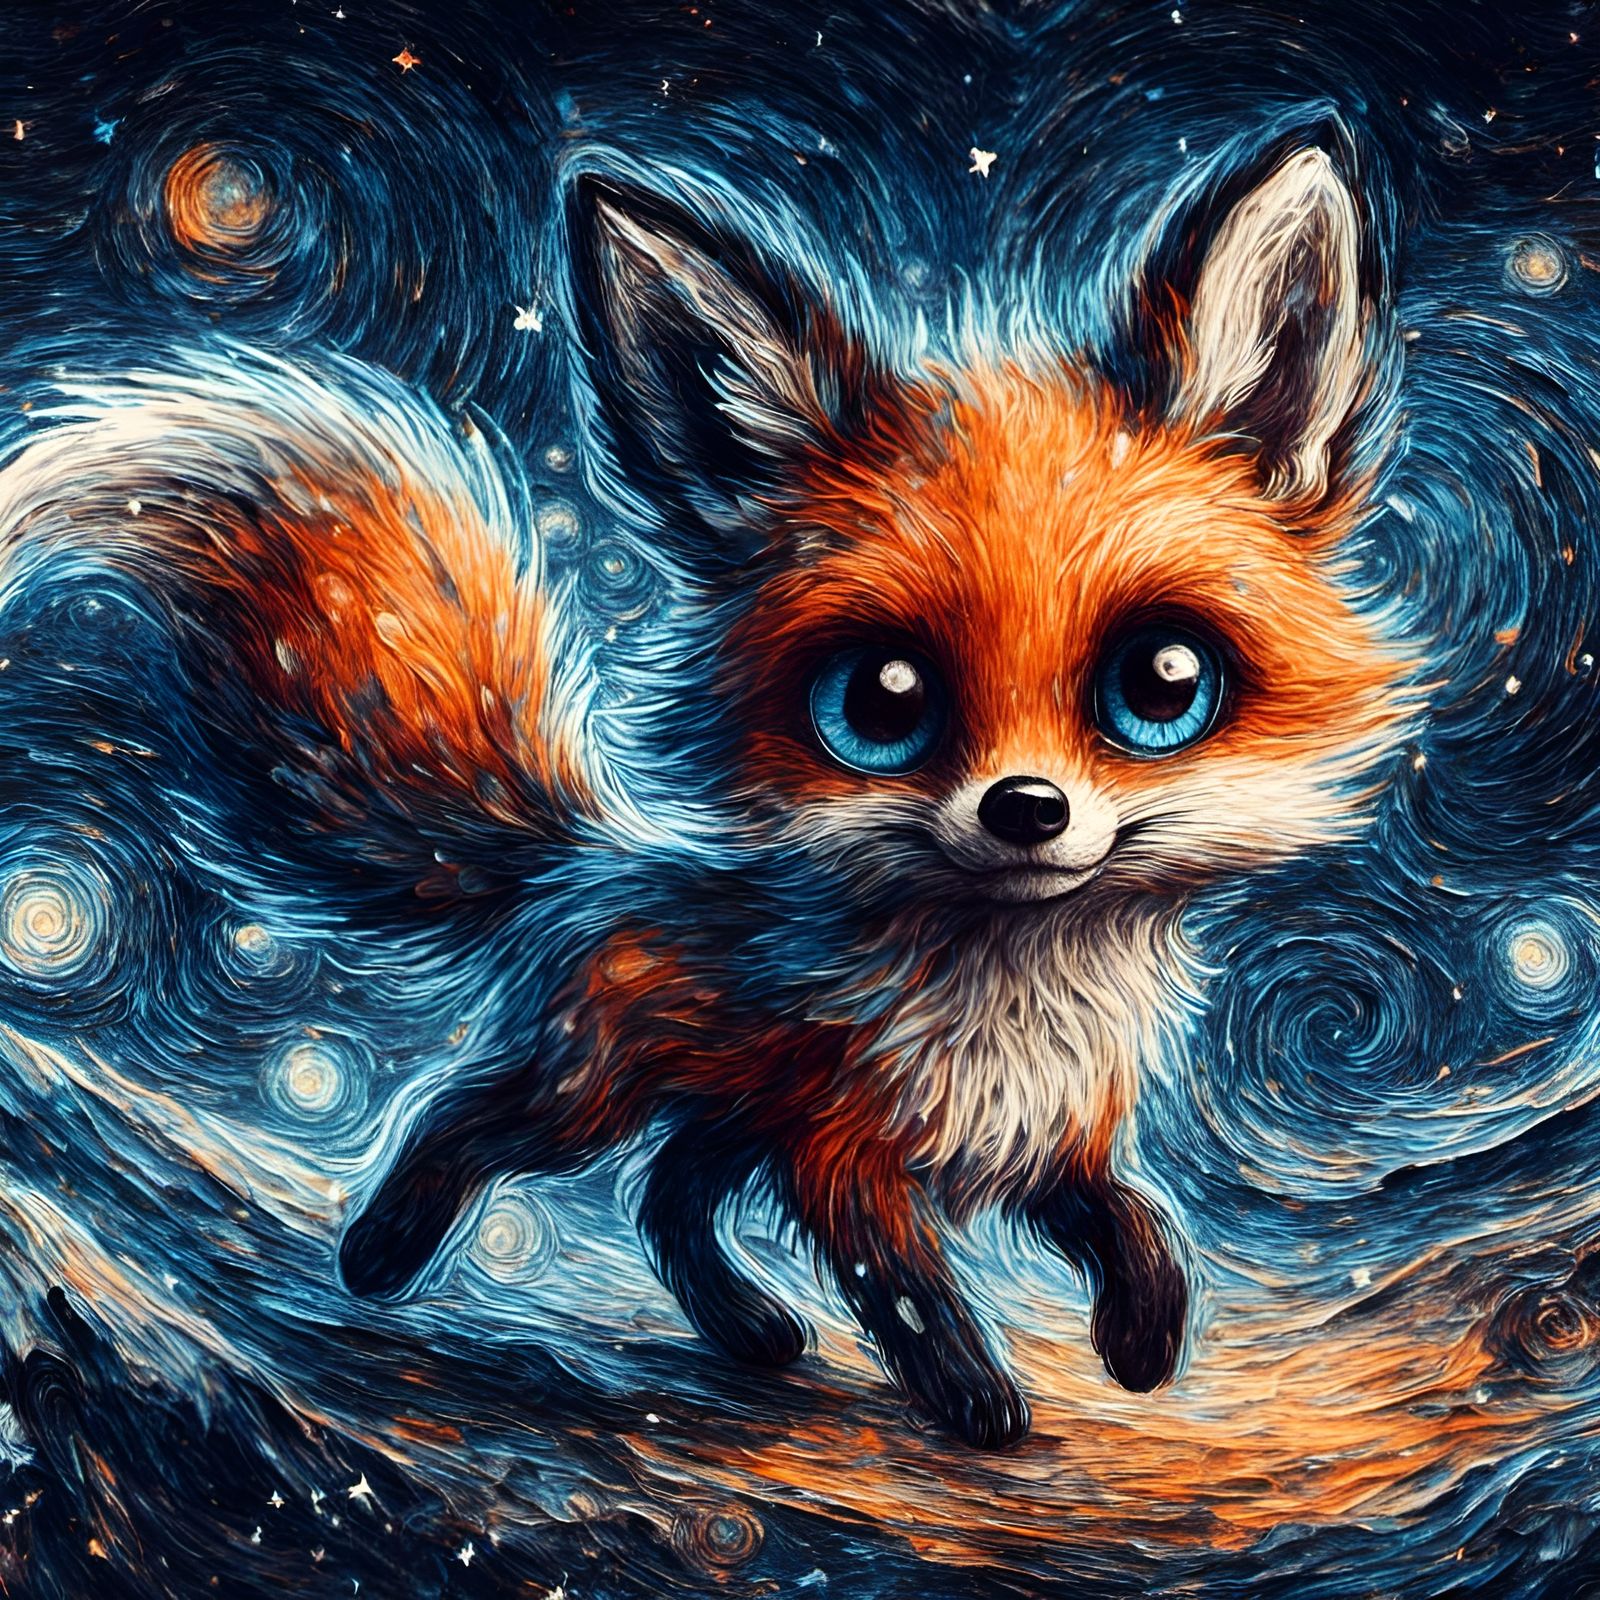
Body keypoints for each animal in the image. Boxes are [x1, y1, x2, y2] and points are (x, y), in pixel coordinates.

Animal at [0, 128, 1410, 1449]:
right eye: (882, 700)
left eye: (1160, 681)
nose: (1025, 811)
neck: (1009, 1006)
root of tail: (582, 858)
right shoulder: (842, 1154)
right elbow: (907, 1290)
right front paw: (974, 1401)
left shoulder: (1048, 1140)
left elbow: (1134, 1226)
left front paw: (1143, 1339)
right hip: (593, 1091)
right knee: (475, 1117)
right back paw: (382, 1255)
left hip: (720, 1114)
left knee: (668, 1196)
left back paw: (745, 1330)